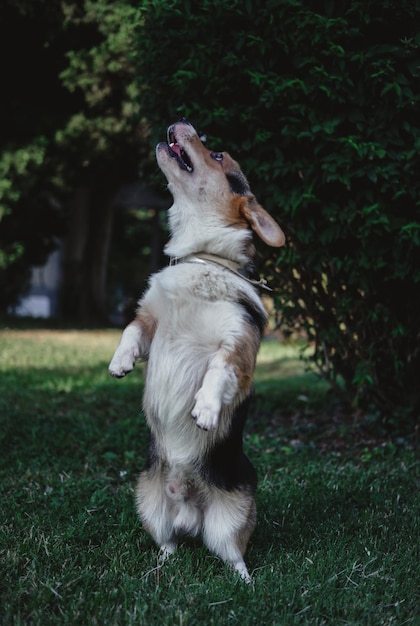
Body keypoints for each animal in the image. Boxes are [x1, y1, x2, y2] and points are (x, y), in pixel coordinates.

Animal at [108, 118, 286, 580]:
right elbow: (131, 331)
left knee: (231, 554)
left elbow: (219, 369)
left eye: (218, 155)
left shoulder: (238, 344)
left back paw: (246, 582)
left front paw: (205, 408)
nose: (184, 122)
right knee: (168, 543)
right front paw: (120, 363)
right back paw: (161, 569)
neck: (203, 257)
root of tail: (188, 504)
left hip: (233, 515)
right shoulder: (151, 321)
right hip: (148, 501)